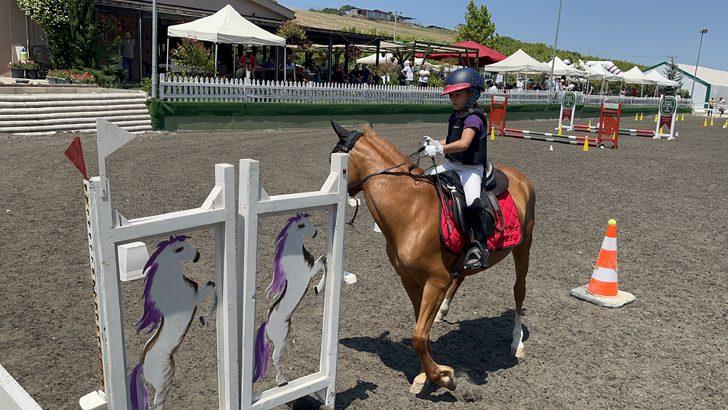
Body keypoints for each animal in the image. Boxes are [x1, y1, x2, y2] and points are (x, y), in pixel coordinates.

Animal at [128, 235, 217, 410]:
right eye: (180, 248)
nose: (197, 255)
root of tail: (142, 365)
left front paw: (203, 319)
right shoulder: (195, 298)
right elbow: (213, 289)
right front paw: (204, 318)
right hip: (164, 382)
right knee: (157, 405)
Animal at [253, 213, 327, 386]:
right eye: (302, 225)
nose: (315, 232)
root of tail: (267, 325)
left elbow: (324, 261)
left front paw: (317, 288)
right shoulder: (310, 271)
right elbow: (324, 262)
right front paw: (317, 288)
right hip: (281, 340)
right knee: (275, 358)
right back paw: (281, 381)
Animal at [331, 122, 535, 394]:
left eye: (334, 159)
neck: (410, 211)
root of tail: (521, 178)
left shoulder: (435, 281)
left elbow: (419, 336)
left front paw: (443, 377)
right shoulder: (411, 280)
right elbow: (421, 330)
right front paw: (424, 375)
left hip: (524, 247)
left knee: (519, 290)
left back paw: (516, 343)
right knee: (461, 277)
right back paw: (443, 311)